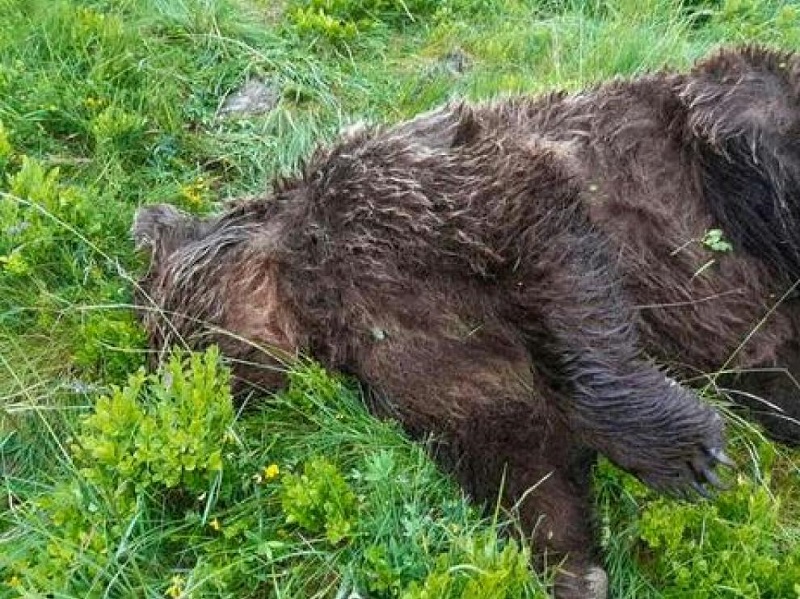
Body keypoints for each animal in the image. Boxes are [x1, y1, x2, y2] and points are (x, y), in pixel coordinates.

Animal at [133, 48, 800, 599]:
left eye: (169, 337)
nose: (171, 393)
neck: (314, 295)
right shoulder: (414, 357)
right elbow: (514, 452)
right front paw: (572, 568)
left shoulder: (423, 196)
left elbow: (545, 254)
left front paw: (688, 454)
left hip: (719, 126)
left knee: (745, 118)